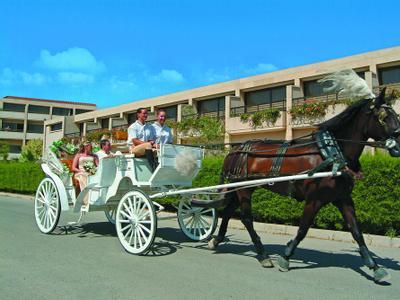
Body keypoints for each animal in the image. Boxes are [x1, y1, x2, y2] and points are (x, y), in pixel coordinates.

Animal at [205, 87, 398, 284]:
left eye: (395, 114)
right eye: (383, 116)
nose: (397, 143)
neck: (331, 152)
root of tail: (235, 150)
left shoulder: (343, 198)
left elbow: (356, 232)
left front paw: (375, 267)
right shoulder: (314, 199)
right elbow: (304, 228)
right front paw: (286, 256)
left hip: (242, 187)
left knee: (227, 212)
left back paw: (216, 240)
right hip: (243, 189)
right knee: (246, 219)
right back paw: (263, 254)